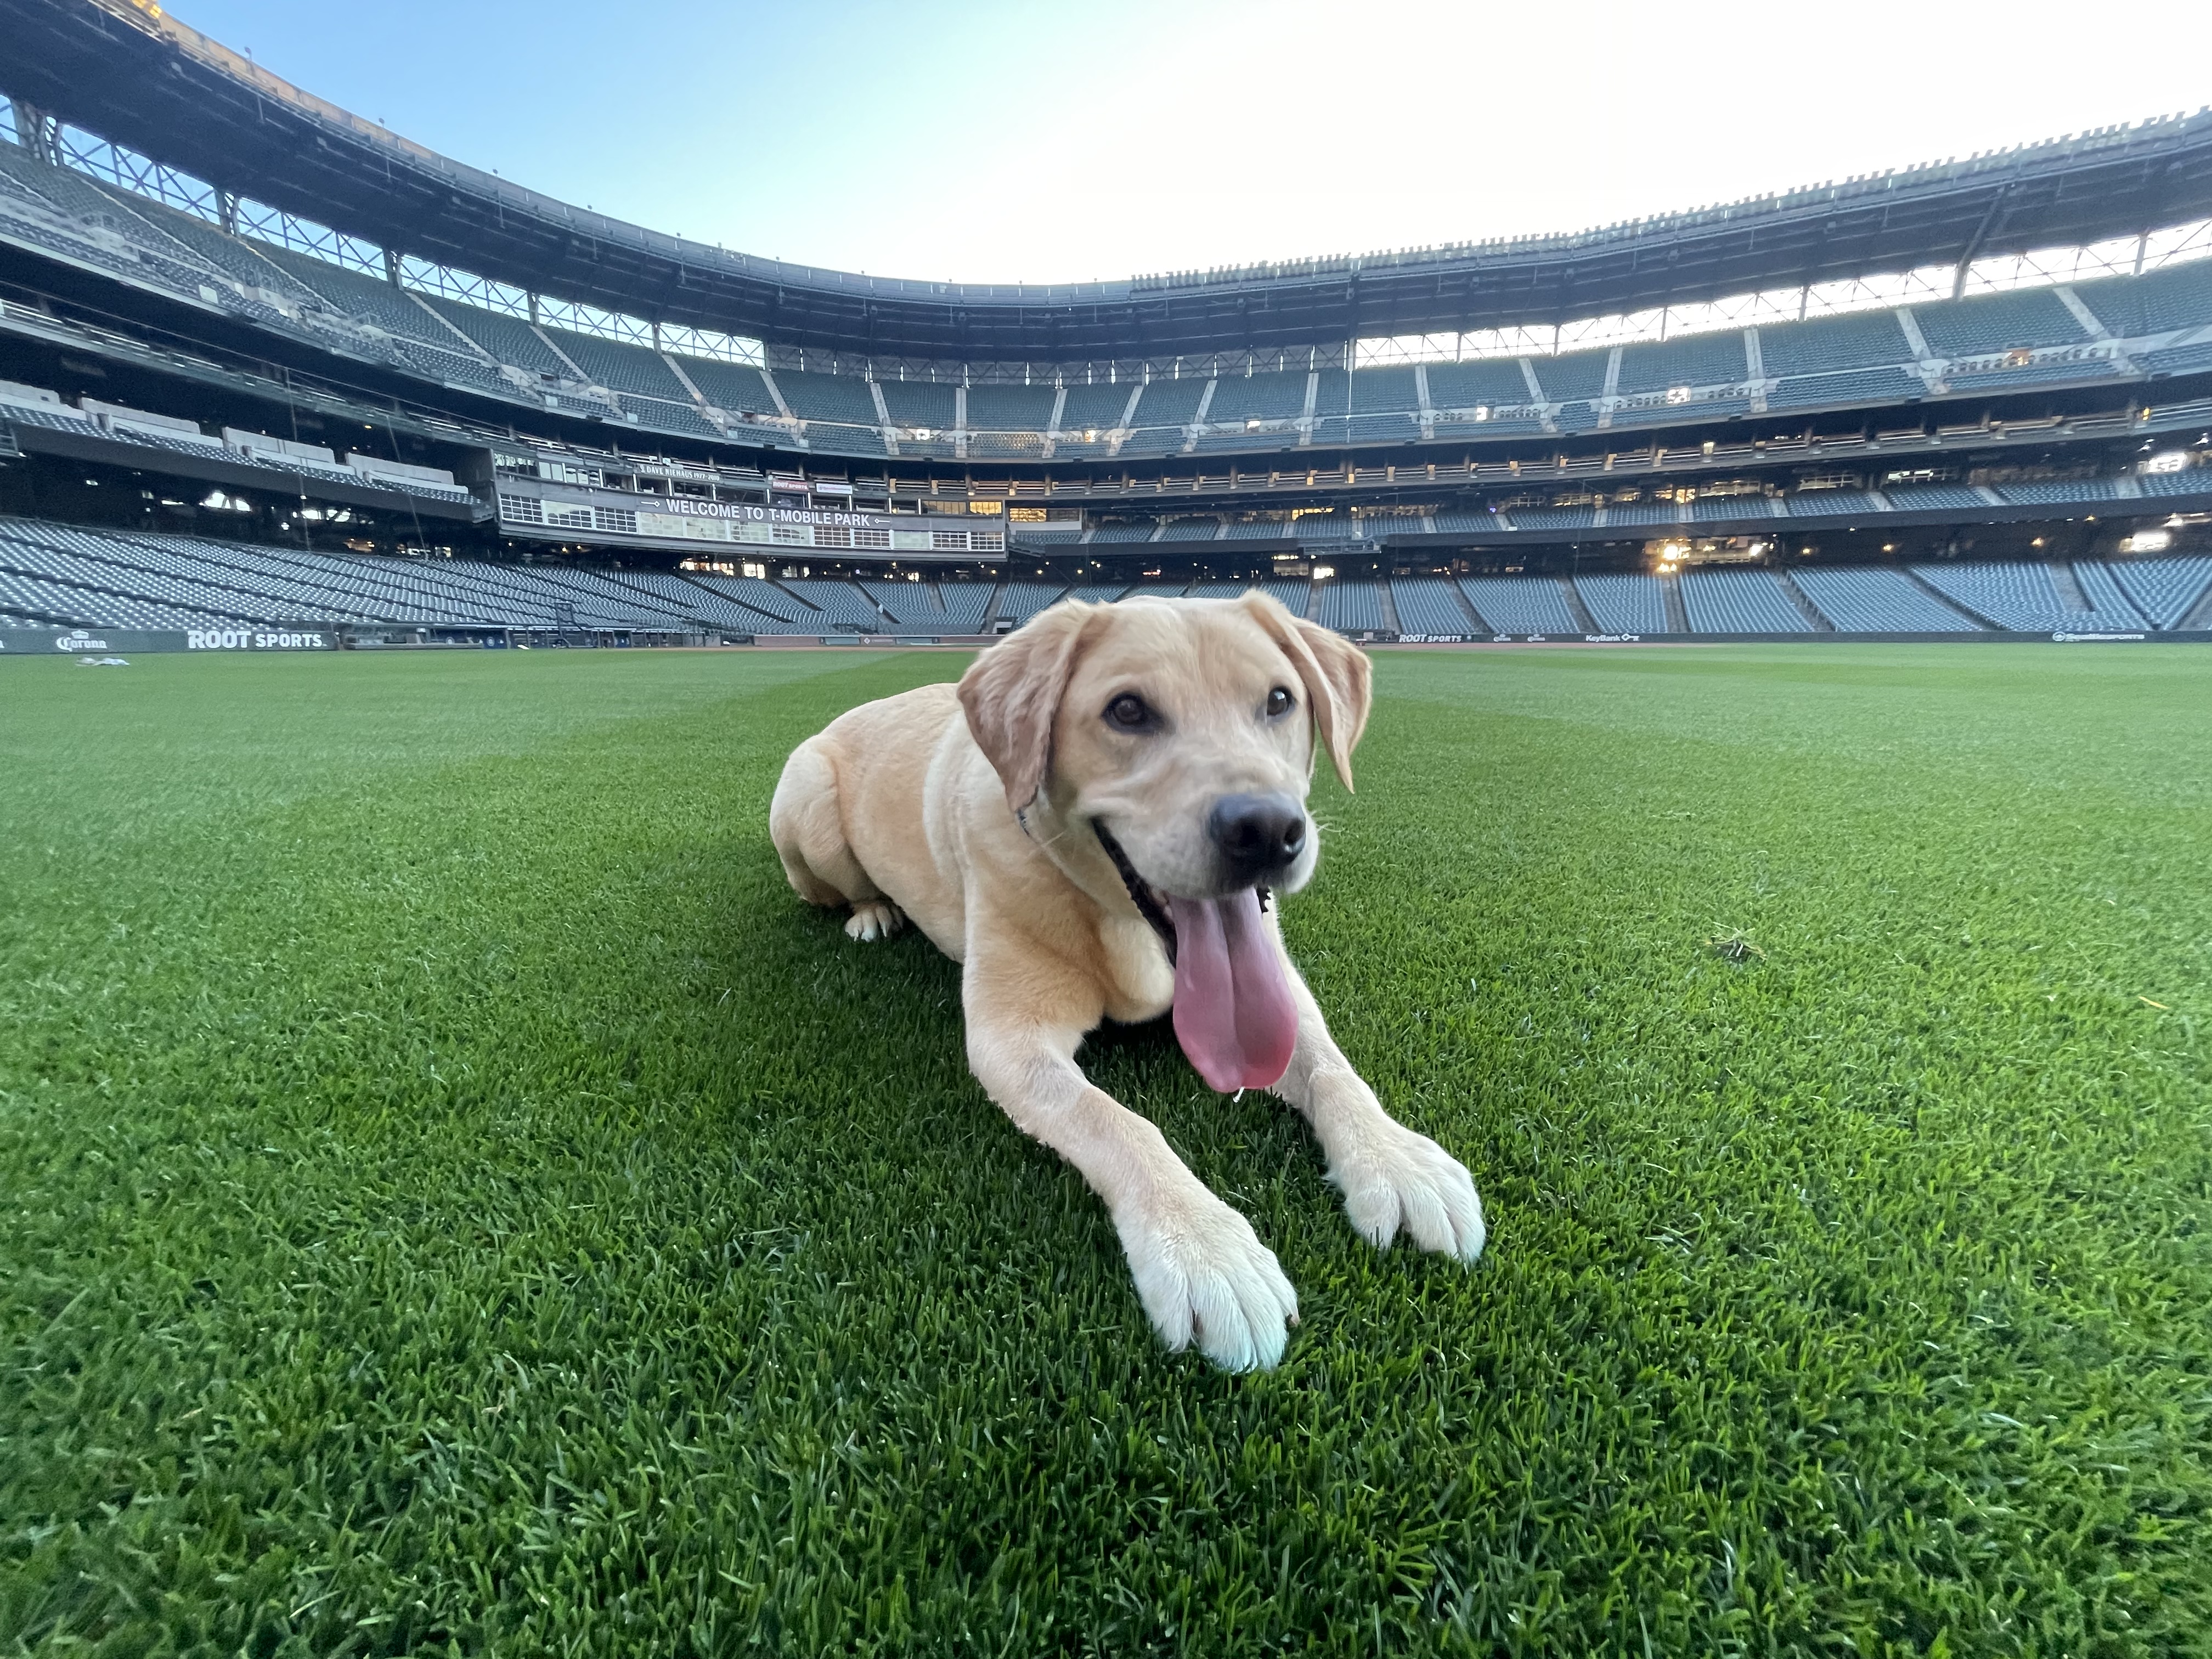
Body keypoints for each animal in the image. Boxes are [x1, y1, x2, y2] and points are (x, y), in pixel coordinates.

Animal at [770, 592, 1477, 1371]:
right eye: (1129, 710)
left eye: (1280, 701)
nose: (1268, 830)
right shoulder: (1008, 1039)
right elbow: (1118, 1123)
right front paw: (1205, 1250)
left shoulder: (1281, 985)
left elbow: (1331, 1067)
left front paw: (1397, 1160)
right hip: (806, 803)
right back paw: (873, 912)